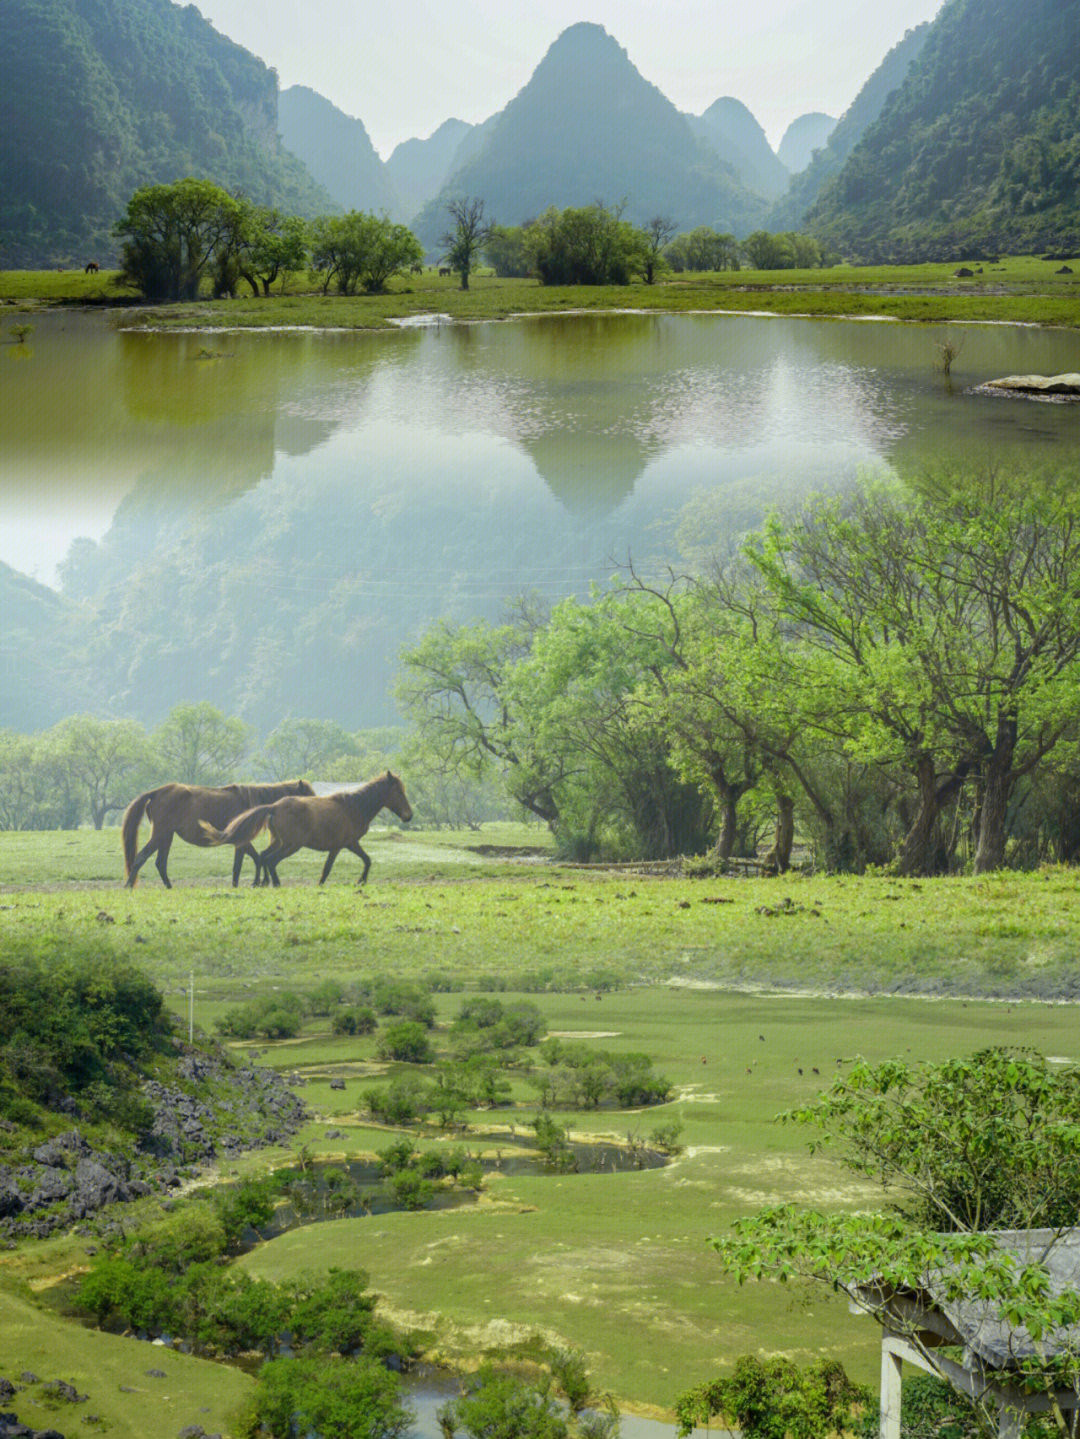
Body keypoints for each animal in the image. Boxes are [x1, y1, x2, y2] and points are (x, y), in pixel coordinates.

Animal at [125, 782, 316, 880]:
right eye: (309, 795)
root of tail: (156, 792)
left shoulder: (240, 843)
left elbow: (240, 866)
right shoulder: (242, 841)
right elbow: (251, 861)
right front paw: (257, 883)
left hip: (166, 837)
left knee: (160, 864)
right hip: (160, 835)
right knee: (141, 858)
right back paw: (128, 887)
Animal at [198, 771, 414, 880]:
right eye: (399, 792)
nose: (408, 816)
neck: (354, 807)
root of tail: (274, 806)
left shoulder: (343, 846)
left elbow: (362, 861)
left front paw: (360, 882)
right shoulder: (347, 844)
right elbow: (332, 869)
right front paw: (360, 881)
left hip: (279, 842)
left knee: (264, 857)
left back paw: (265, 883)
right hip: (291, 845)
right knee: (271, 861)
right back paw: (275, 884)